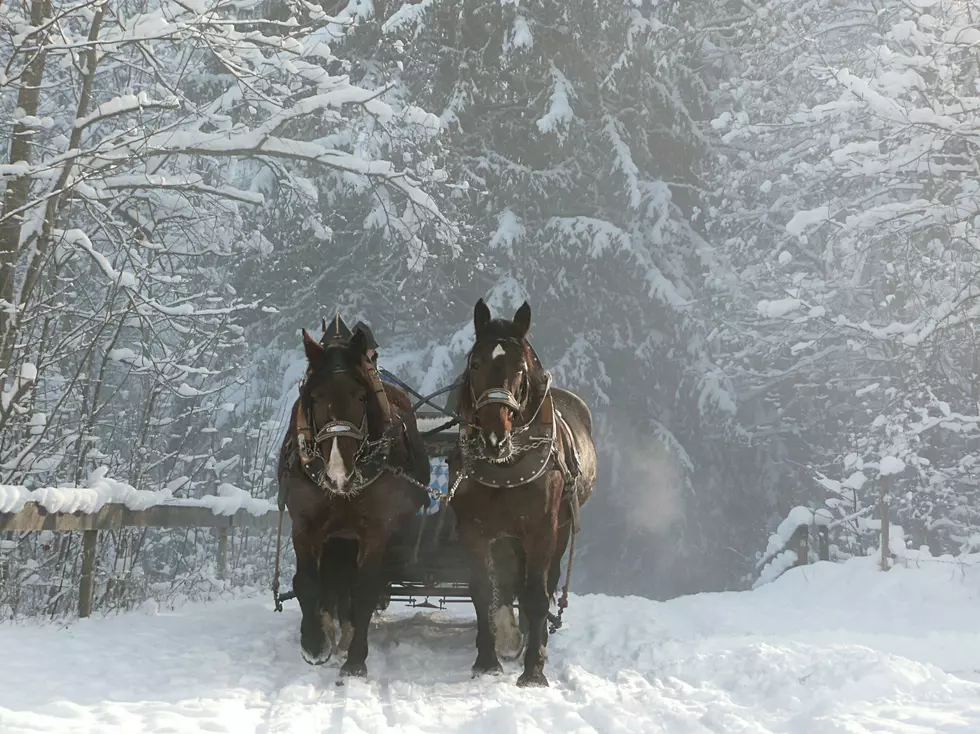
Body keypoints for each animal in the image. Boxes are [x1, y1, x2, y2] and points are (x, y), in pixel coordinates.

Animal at [276, 320, 428, 680]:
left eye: (360, 396)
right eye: (315, 397)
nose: (338, 472)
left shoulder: (375, 529)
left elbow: (365, 589)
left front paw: (356, 659)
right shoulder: (305, 523)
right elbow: (306, 581)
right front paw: (314, 643)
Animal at [450, 300, 596, 688]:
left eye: (520, 368)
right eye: (475, 363)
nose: (494, 438)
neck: (506, 464)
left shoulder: (542, 529)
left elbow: (536, 595)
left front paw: (534, 669)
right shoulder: (473, 530)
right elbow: (483, 591)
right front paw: (486, 661)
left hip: (559, 528)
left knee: (545, 582)